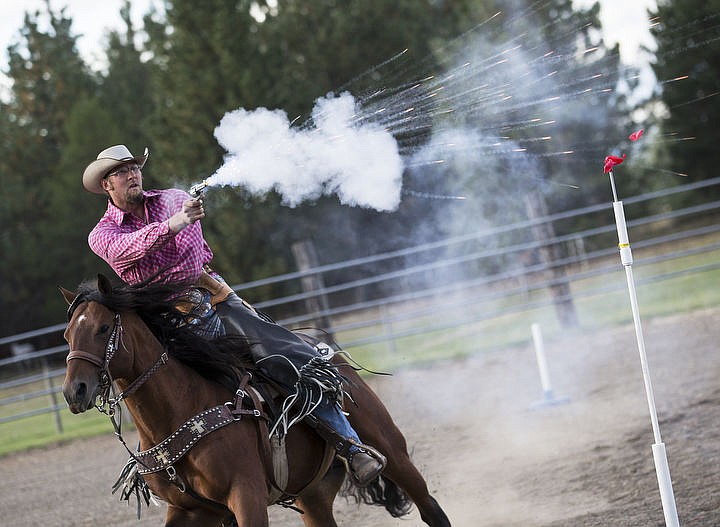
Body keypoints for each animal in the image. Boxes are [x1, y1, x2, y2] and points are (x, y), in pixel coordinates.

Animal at [62, 276, 452, 527]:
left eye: (102, 328)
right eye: (67, 334)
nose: (73, 391)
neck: (181, 410)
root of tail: (329, 355)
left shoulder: (246, 495)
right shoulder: (190, 510)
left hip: (391, 448)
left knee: (430, 508)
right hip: (313, 496)